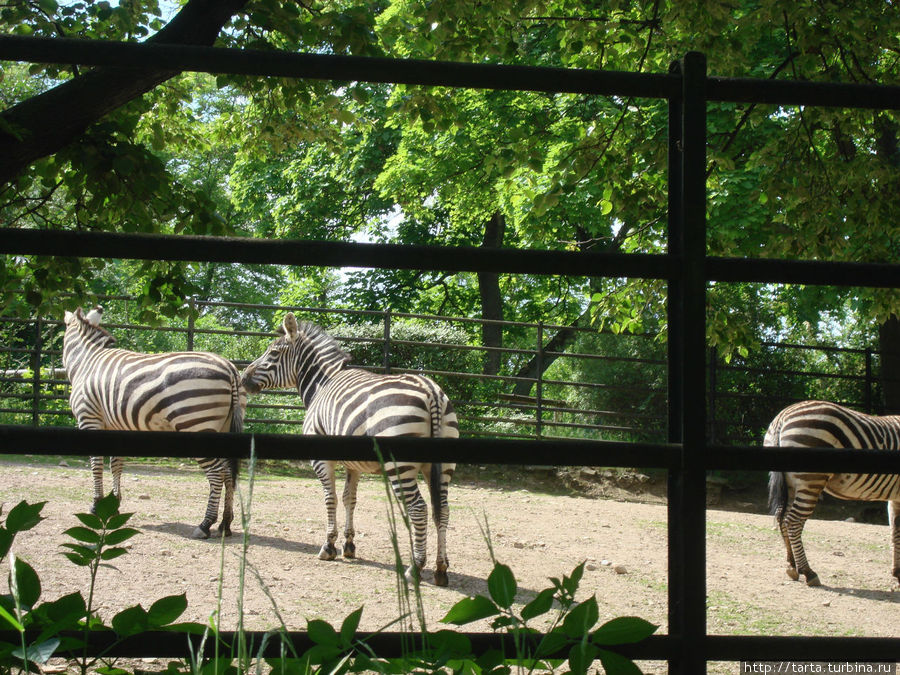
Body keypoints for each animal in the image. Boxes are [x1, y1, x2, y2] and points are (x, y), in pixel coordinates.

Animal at [62, 306, 246, 540]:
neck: (86, 361)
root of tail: (229, 367)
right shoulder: (117, 426)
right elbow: (116, 464)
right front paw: (113, 505)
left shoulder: (89, 418)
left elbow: (96, 463)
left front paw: (96, 506)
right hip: (223, 426)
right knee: (228, 473)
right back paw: (225, 524)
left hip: (196, 423)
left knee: (216, 473)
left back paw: (205, 525)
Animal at [241, 316, 458, 588]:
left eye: (273, 353)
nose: (242, 378)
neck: (321, 384)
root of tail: (431, 391)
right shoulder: (354, 464)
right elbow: (349, 499)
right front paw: (349, 545)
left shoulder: (321, 457)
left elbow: (330, 498)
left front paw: (329, 546)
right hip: (442, 465)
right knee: (443, 509)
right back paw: (441, 569)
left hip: (401, 465)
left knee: (418, 508)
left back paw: (415, 568)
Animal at [768, 402, 900, 588]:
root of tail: (783, 417)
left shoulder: (895, 497)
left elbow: (895, 531)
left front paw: (897, 573)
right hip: (810, 480)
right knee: (793, 521)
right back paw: (808, 572)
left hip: (793, 483)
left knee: (782, 517)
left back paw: (792, 566)